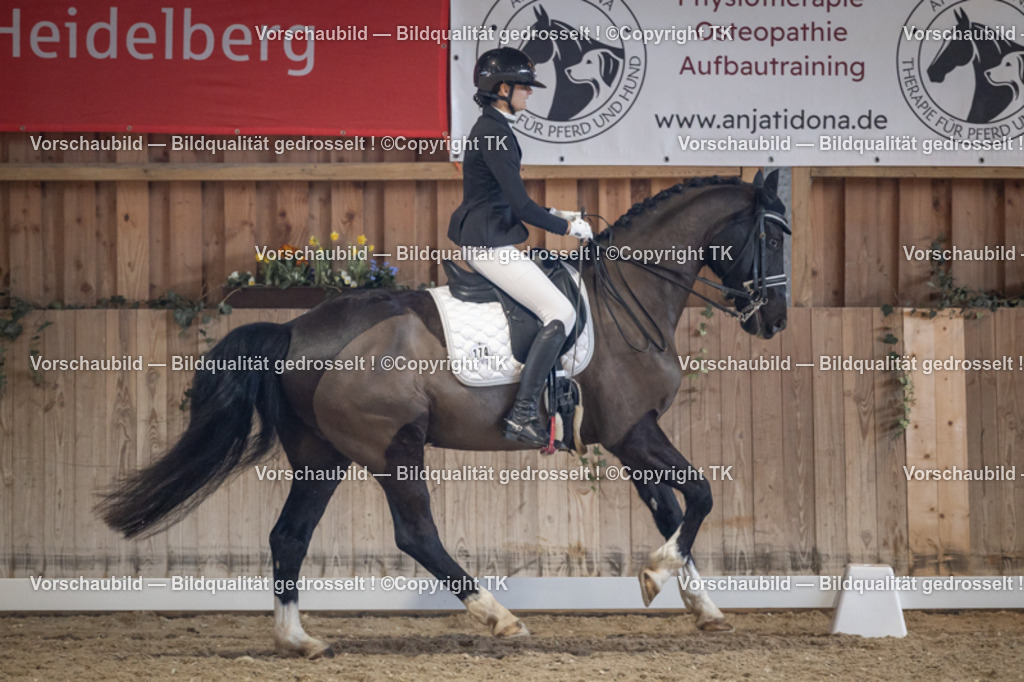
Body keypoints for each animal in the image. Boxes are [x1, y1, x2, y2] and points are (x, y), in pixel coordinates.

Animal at [98, 171, 790, 658]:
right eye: (769, 235)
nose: (775, 321)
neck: (629, 297)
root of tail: (293, 330)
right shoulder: (634, 430)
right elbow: (700, 494)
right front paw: (656, 574)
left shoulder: (626, 438)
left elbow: (673, 510)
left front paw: (700, 606)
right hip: (393, 448)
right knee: (415, 534)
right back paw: (497, 616)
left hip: (324, 456)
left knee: (289, 536)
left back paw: (299, 640)